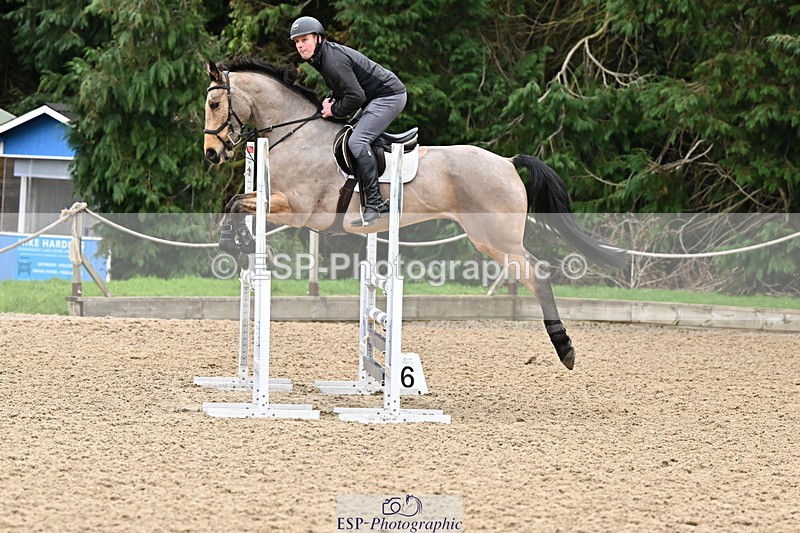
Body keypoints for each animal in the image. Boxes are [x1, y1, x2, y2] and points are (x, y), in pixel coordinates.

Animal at [202, 57, 627, 370]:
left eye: (213, 104)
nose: (211, 153)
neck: (297, 135)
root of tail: (507, 162)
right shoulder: (278, 201)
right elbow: (234, 203)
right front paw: (240, 245)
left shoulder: (297, 209)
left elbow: (237, 203)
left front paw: (244, 246)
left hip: (496, 239)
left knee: (537, 273)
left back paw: (565, 348)